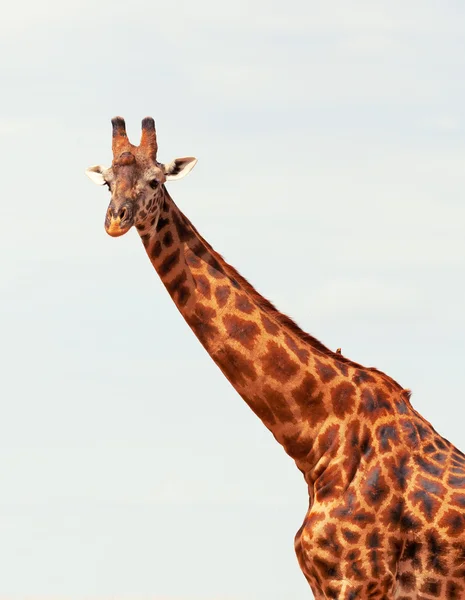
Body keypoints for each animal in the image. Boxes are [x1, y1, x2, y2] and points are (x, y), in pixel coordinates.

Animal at [85, 117, 464, 600]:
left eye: (156, 180)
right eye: (107, 182)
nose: (116, 220)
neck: (317, 439)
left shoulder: (360, 581)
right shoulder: (327, 583)